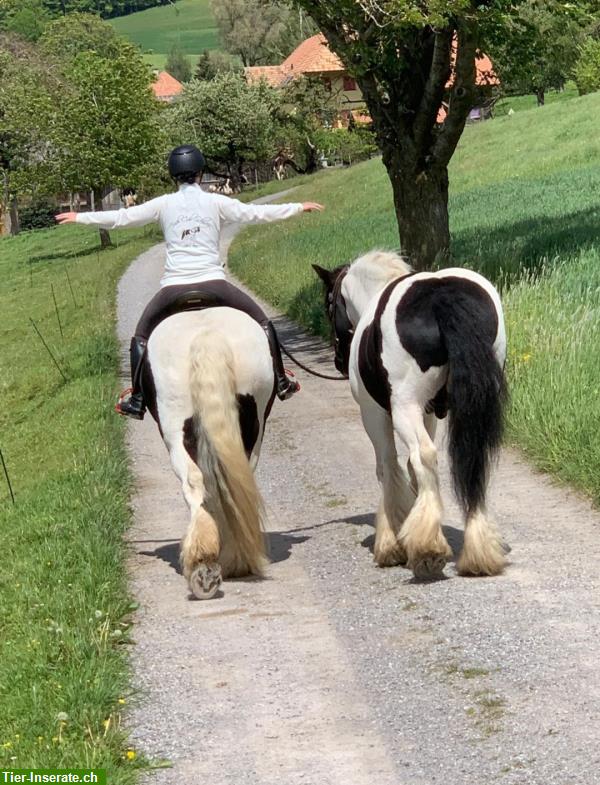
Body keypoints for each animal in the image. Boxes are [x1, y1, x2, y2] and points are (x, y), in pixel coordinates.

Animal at [142, 306, 276, 596]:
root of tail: (207, 335)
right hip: (251, 428)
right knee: (234, 482)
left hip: (177, 432)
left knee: (196, 484)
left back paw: (206, 562)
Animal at [314, 253, 506, 580]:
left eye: (329, 303)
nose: (339, 360)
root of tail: (442, 297)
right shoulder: (427, 411)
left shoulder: (375, 414)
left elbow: (388, 466)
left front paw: (391, 543)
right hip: (472, 405)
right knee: (473, 461)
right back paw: (478, 552)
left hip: (404, 408)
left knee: (424, 454)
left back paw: (429, 550)